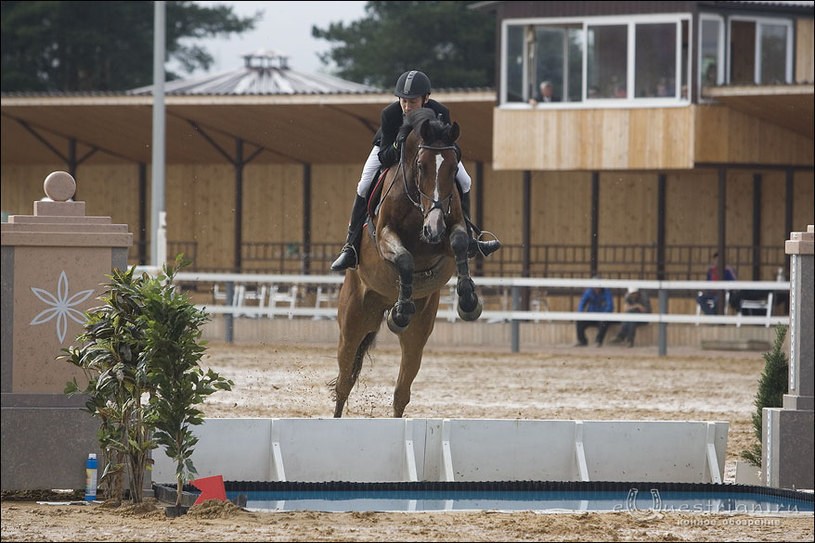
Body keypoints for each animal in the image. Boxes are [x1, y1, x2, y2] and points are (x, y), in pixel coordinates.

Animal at [332, 107, 484, 420]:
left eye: (454, 168)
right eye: (421, 166)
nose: (433, 229)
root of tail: (381, 305)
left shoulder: (451, 230)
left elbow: (460, 242)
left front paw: (468, 301)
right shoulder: (385, 236)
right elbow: (404, 258)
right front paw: (401, 311)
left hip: (418, 333)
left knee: (401, 392)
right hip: (352, 323)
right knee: (343, 382)